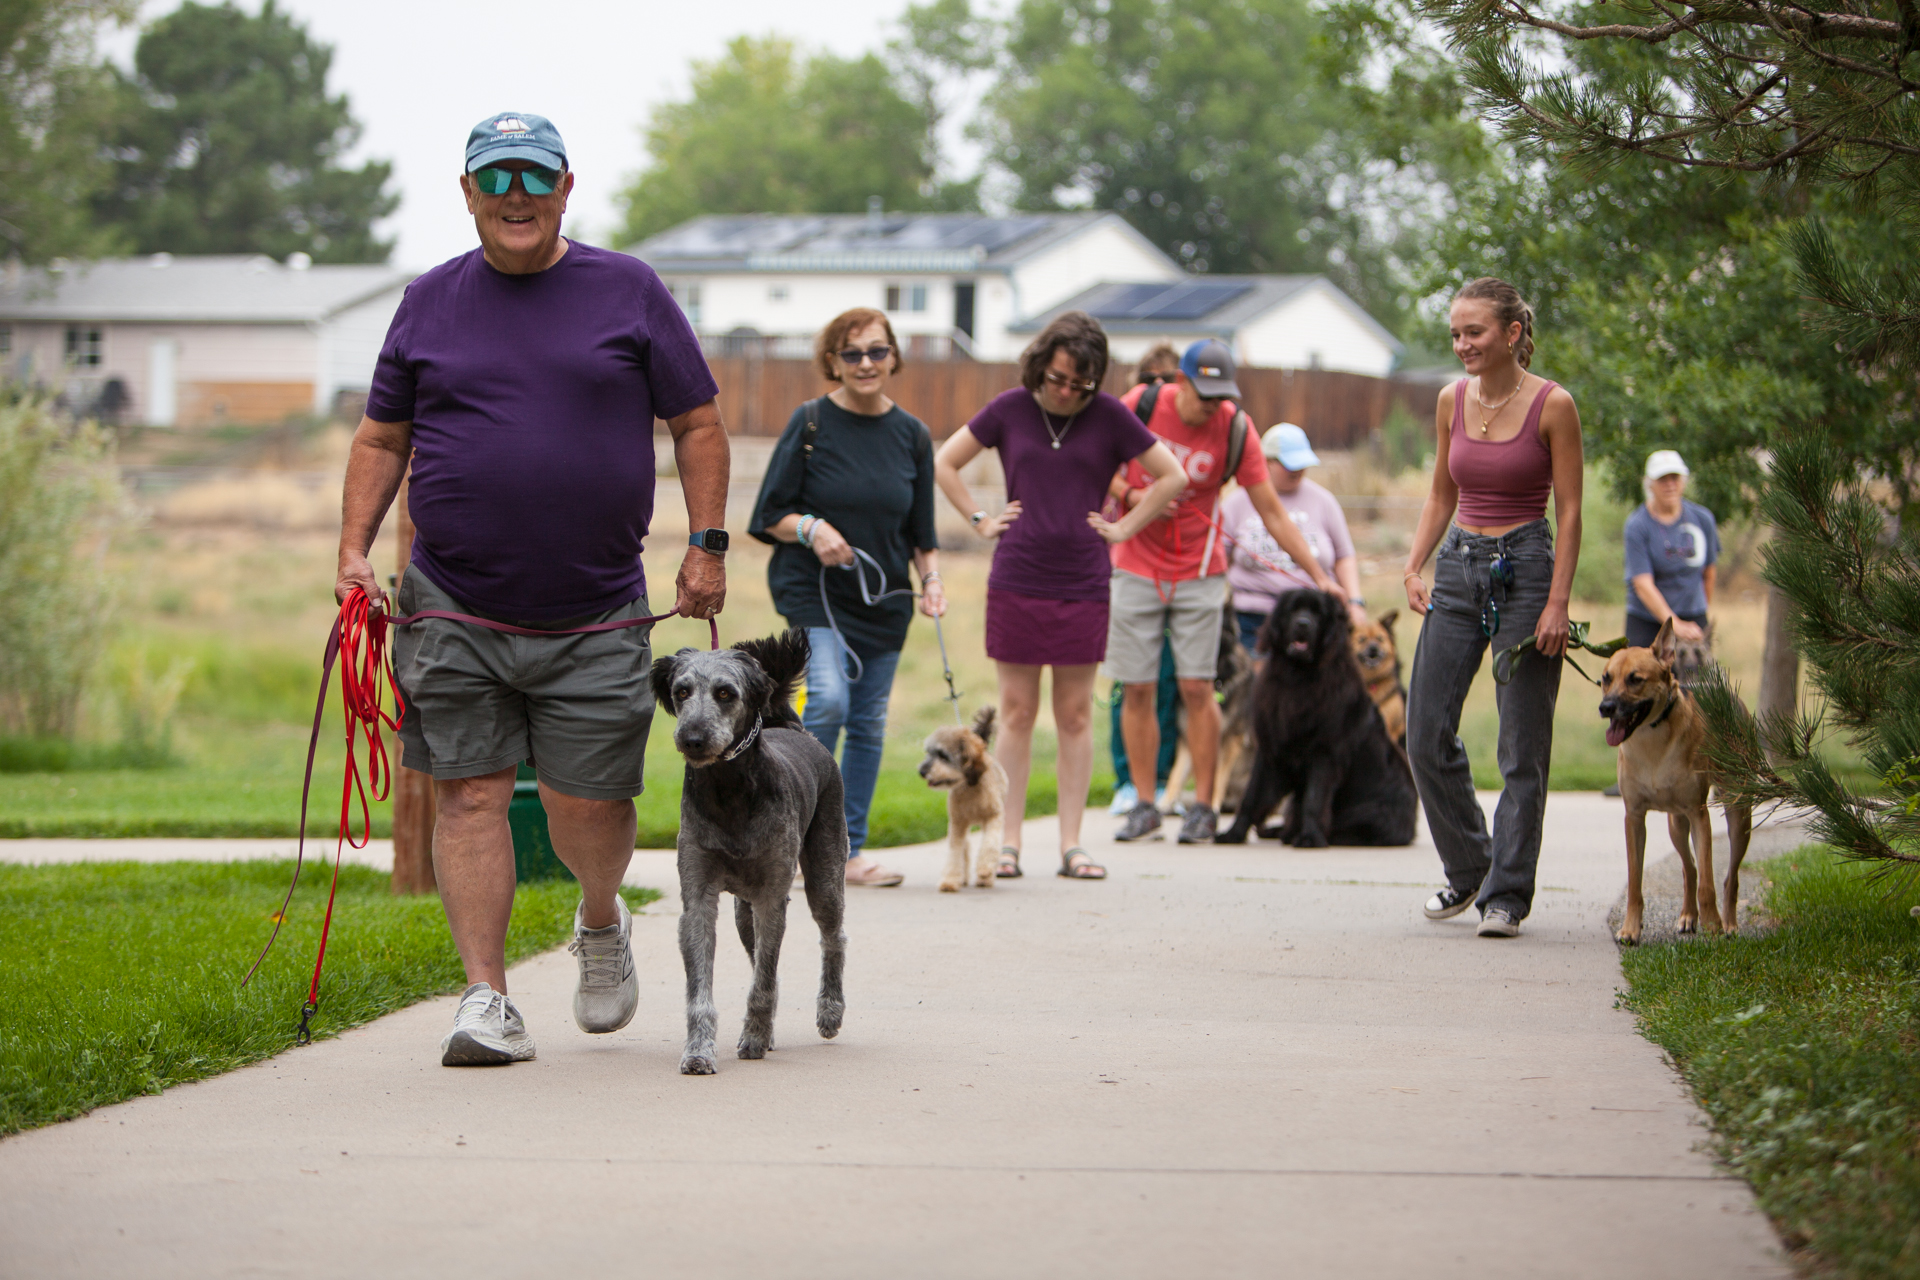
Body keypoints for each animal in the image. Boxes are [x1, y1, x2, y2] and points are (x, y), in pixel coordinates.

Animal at [652, 637, 848, 1074]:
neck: (728, 791)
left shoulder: (771, 897)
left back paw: (830, 1011)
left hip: (825, 876)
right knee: (757, 954)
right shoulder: (698, 896)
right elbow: (703, 989)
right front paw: (699, 1051)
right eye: (681, 692)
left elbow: (764, 979)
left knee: (833, 938)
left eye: (725, 693)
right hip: (744, 911)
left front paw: (755, 1038)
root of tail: (794, 730)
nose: (692, 738)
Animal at [921, 706, 1013, 898]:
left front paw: (985, 869)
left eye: (943, 756)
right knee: (965, 846)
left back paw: (985, 879)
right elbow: (955, 852)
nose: (922, 771)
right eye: (929, 753)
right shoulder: (958, 823)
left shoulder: (994, 817)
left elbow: (990, 845)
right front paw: (949, 881)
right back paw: (962, 878)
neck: (970, 788)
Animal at [1597, 614, 1751, 948]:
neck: (1651, 736)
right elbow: (1635, 881)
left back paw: (1730, 923)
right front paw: (1631, 929)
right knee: (1688, 868)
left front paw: (1713, 927)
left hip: (1738, 813)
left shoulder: (1699, 814)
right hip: (1675, 824)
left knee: (1729, 876)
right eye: (1605, 678)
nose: (1606, 708)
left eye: (1635, 679)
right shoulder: (1634, 817)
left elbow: (1708, 881)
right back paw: (1688, 916)